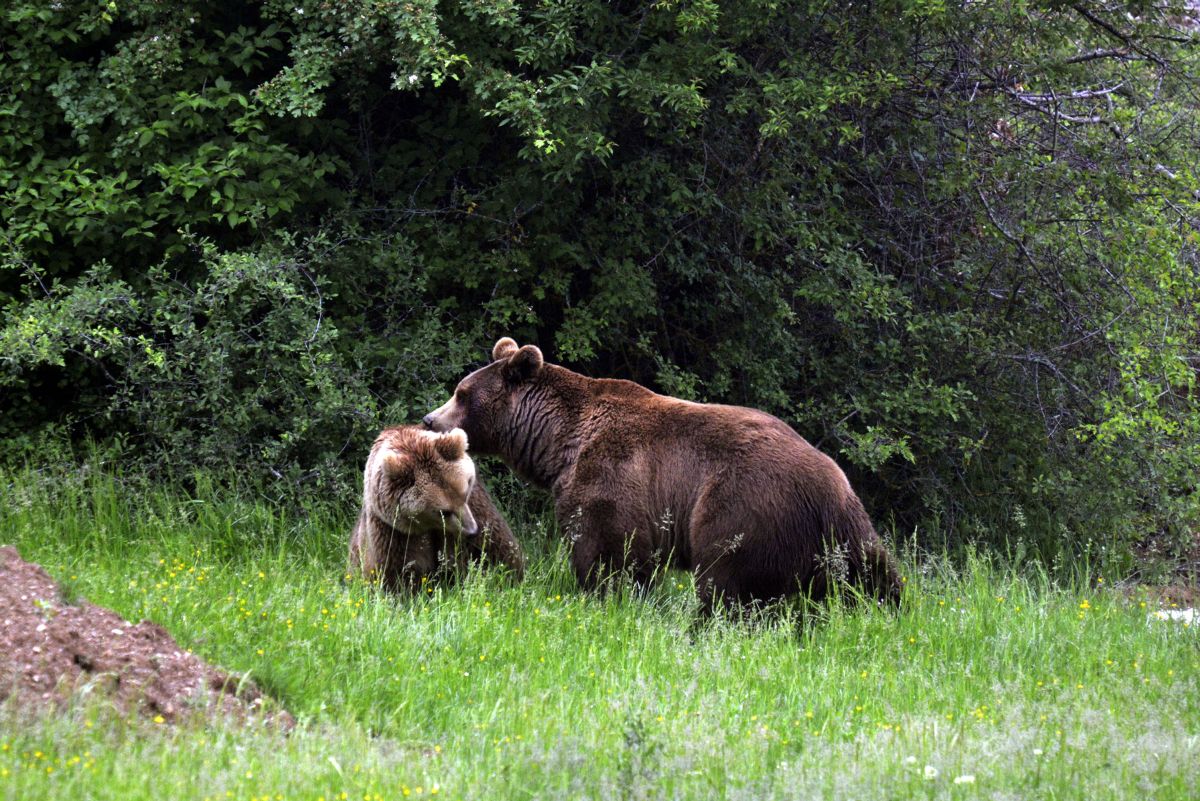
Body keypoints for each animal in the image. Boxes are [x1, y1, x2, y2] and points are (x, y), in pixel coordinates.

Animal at [348, 429, 525, 592]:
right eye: (444, 511)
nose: (472, 530)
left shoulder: (477, 509)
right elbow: (393, 574)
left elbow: (497, 549)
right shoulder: (392, 533)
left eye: (465, 493)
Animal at [422, 335, 902, 609]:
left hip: (743, 506)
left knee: (726, 581)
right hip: (848, 529)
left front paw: (605, 597)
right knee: (877, 576)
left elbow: (608, 550)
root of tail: (828, 487)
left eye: (462, 393)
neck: (558, 442)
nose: (430, 419)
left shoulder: (611, 477)